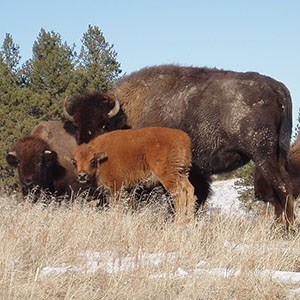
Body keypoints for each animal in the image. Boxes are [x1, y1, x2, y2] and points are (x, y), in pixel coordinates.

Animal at [63, 63, 296, 227]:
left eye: (103, 124)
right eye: (76, 127)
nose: (84, 156)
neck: (128, 115)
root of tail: (275, 87)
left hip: (263, 154)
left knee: (283, 186)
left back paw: (287, 229)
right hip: (276, 154)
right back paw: (278, 227)